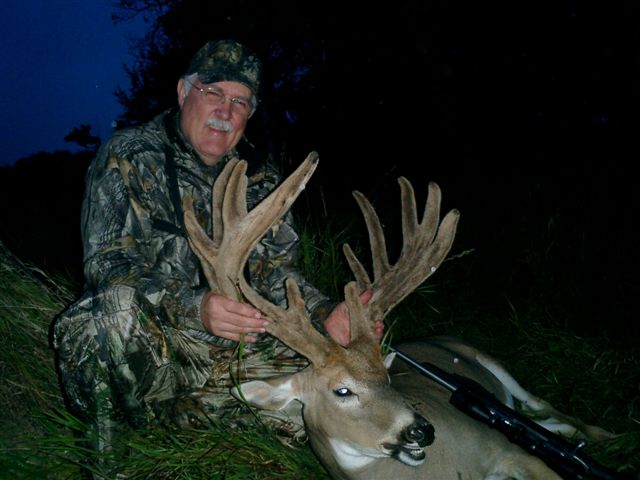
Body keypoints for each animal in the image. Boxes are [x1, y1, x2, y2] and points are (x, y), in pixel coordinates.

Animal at [183, 152, 617, 480]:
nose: (422, 430)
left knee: (540, 404)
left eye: (388, 378)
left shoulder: (509, 451)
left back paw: (603, 435)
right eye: (342, 391)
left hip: (484, 357)